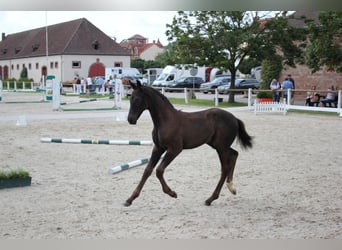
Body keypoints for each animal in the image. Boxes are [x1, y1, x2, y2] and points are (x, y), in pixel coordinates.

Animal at [125, 81, 254, 206]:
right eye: (130, 98)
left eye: (137, 99)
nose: (131, 119)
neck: (166, 120)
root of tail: (234, 118)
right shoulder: (158, 148)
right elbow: (147, 170)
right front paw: (130, 199)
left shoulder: (175, 149)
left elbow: (159, 170)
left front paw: (172, 193)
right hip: (218, 145)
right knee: (234, 154)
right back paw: (231, 187)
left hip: (221, 148)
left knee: (225, 168)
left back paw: (211, 199)